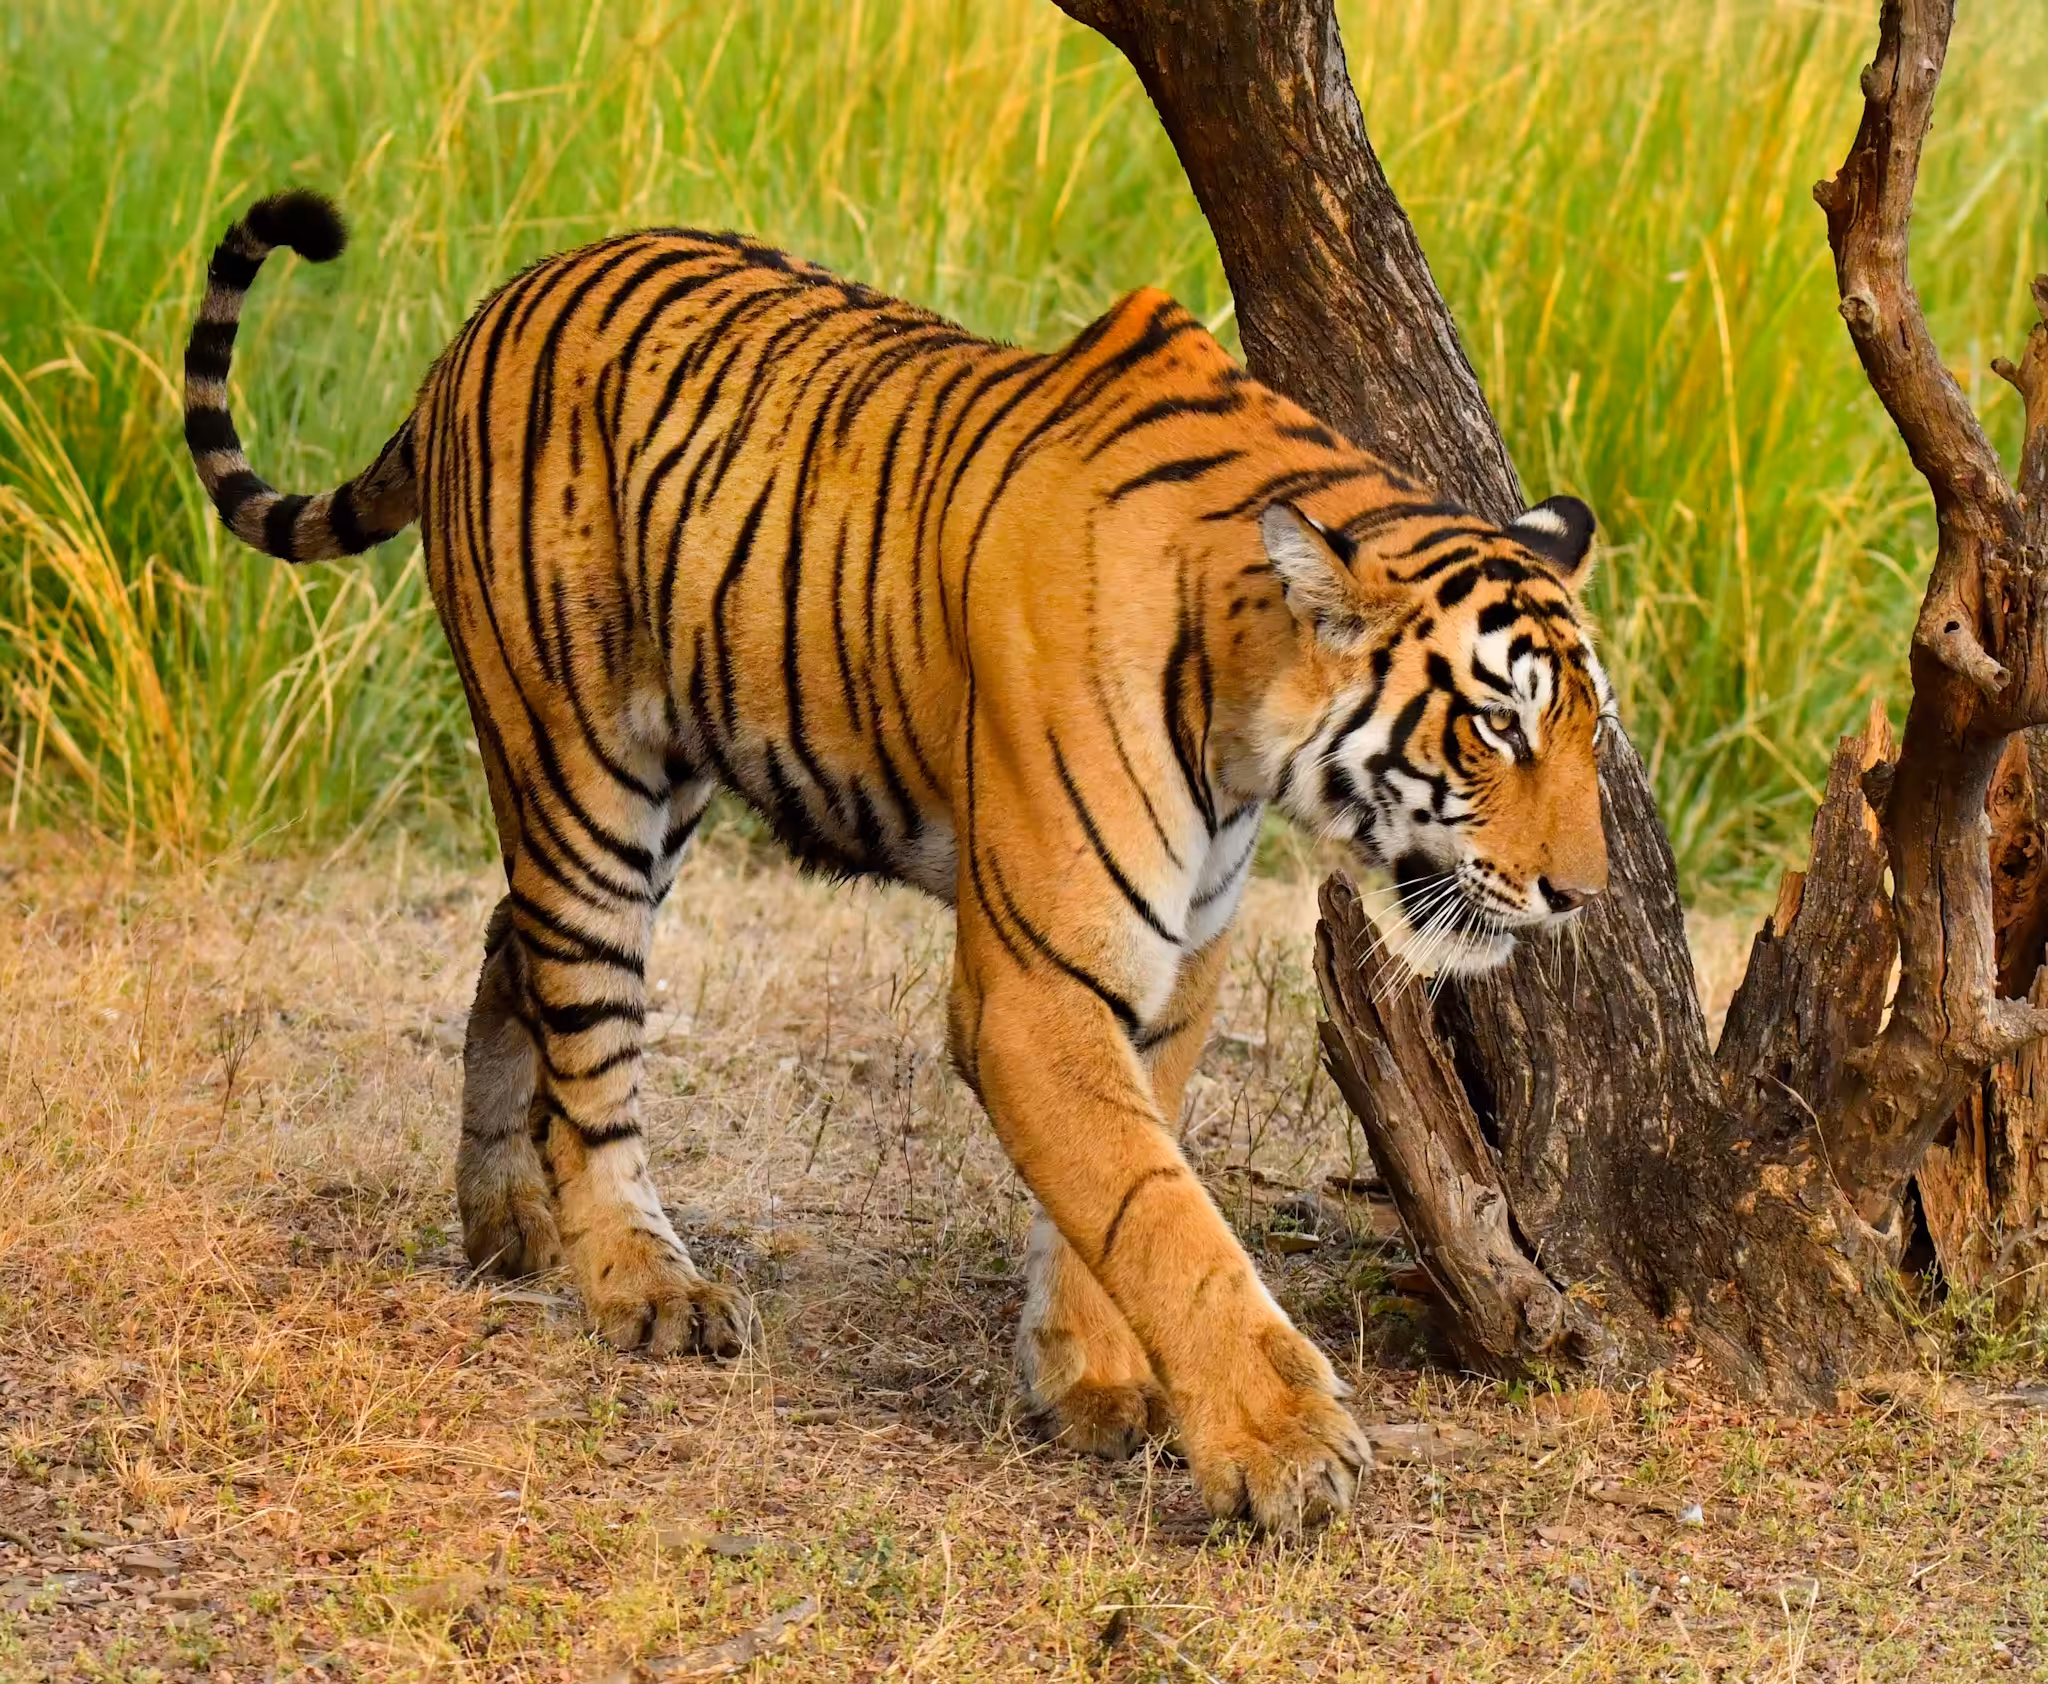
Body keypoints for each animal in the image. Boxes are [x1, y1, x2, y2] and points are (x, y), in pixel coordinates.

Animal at [183, 189, 1609, 1534]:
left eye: (1591, 725)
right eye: (1495, 723)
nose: (1580, 895)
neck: (1246, 706)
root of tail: (485, 312)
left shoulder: (1175, 963)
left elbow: (1114, 1182)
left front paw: (1090, 1381)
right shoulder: (1036, 980)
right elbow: (1159, 1209)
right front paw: (1284, 1448)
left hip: (650, 774)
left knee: (507, 940)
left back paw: (505, 1224)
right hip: (582, 765)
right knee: (587, 1028)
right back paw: (641, 1282)